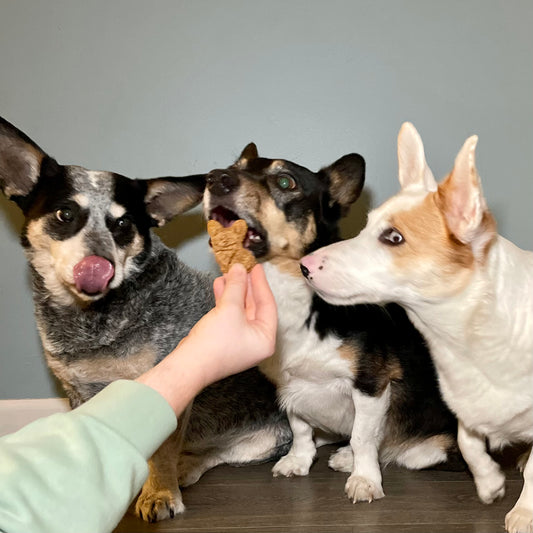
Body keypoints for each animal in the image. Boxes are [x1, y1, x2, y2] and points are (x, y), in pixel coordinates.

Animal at [0, 118, 290, 520]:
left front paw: (161, 493)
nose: (100, 265)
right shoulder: (79, 392)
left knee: (213, 455)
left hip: (267, 440)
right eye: (65, 214)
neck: (93, 323)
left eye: (123, 224)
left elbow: (163, 452)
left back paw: (184, 469)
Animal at [204, 143, 462, 504]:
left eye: (285, 182)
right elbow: (299, 429)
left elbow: (363, 437)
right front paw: (297, 461)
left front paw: (364, 480)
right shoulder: (290, 387)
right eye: (235, 166)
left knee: (411, 452)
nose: (214, 178)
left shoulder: (370, 384)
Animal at [300, 122, 532, 528]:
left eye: (394, 238)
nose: (305, 267)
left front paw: (523, 512)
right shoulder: (464, 406)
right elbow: (468, 443)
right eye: (365, 226)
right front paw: (489, 482)